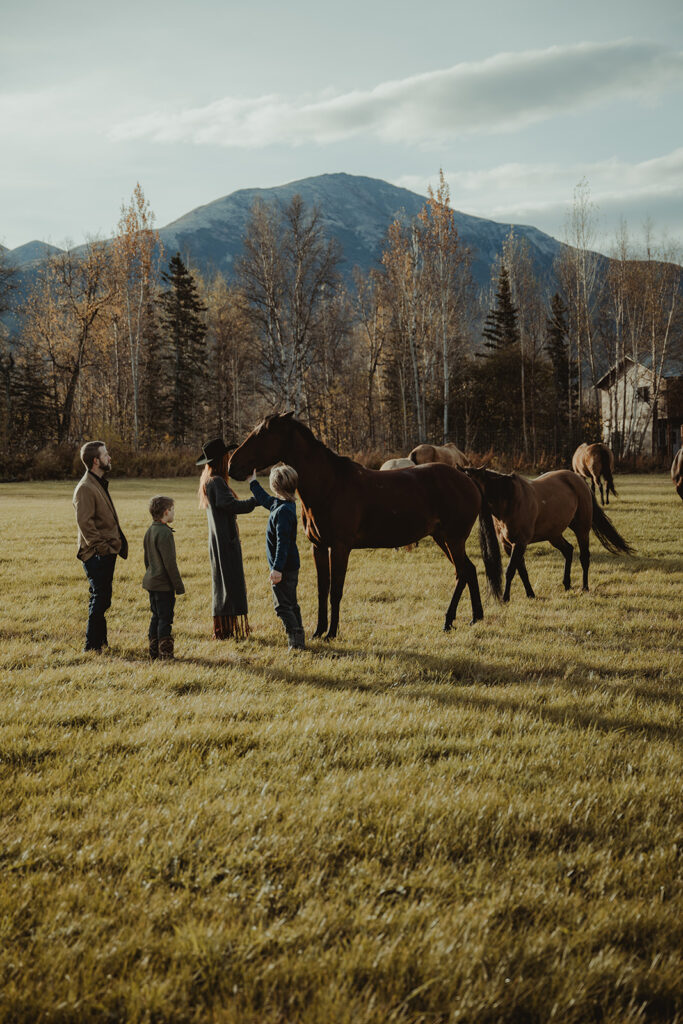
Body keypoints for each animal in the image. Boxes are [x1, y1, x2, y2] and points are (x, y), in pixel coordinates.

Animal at [229, 411, 501, 634]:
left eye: (262, 434)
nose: (232, 465)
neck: (329, 485)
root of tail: (467, 479)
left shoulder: (340, 548)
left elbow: (335, 591)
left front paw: (332, 633)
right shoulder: (319, 547)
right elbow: (322, 590)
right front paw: (318, 631)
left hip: (453, 539)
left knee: (462, 573)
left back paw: (448, 620)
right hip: (443, 538)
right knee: (469, 571)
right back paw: (475, 617)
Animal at [464, 468, 634, 602]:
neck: (509, 498)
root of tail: (579, 480)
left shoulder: (520, 543)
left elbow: (511, 570)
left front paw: (505, 598)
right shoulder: (508, 545)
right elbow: (521, 570)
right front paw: (530, 594)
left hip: (582, 529)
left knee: (584, 557)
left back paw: (584, 587)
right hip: (554, 535)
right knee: (568, 550)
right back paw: (567, 584)